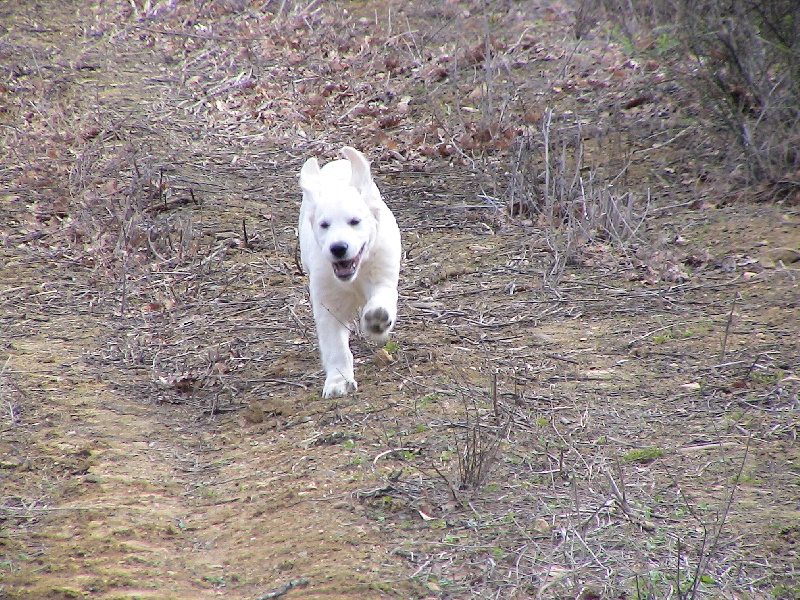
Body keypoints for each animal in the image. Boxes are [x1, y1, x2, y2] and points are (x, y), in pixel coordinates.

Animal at [298, 146, 404, 398]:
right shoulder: (327, 302)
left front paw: (377, 319)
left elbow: (382, 298)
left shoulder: (383, 275)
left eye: (355, 221)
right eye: (324, 225)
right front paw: (338, 381)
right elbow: (334, 344)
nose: (338, 248)